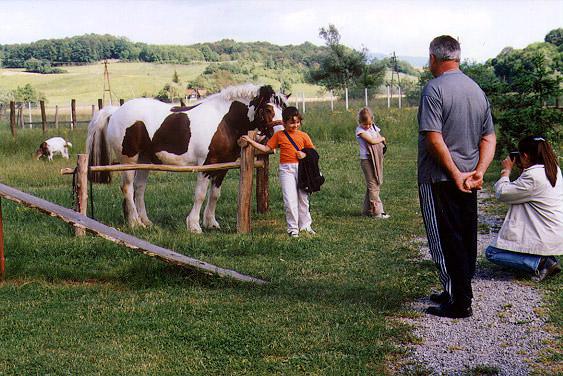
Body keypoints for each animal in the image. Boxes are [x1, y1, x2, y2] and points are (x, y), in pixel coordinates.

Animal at [88, 83, 290, 234]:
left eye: (284, 109)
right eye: (267, 109)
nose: (281, 136)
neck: (225, 121)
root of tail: (115, 111)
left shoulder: (222, 167)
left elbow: (214, 195)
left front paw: (211, 223)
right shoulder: (206, 166)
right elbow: (200, 195)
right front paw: (194, 225)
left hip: (144, 160)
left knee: (139, 188)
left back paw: (146, 221)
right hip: (129, 161)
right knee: (127, 188)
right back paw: (135, 223)